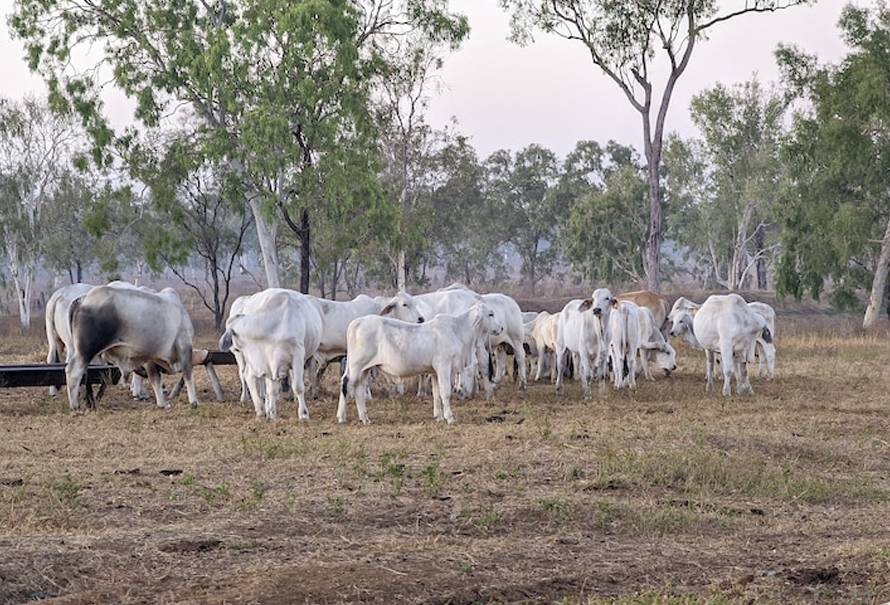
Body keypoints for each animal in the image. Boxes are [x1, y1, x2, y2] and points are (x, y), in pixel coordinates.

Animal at [219, 288, 322, 420]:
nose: (233, 349)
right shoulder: (265, 361)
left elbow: (298, 387)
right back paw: (260, 408)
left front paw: (303, 414)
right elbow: (271, 389)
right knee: (248, 376)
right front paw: (271, 413)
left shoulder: (297, 356)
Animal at [336, 302, 502, 424]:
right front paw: (449, 417)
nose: (501, 327)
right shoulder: (444, 366)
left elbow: (436, 394)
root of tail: (357, 322)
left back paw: (365, 418)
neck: (458, 330)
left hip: (365, 369)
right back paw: (341, 417)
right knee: (346, 383)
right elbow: (445, 392)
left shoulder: (434, 372)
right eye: (490, 314)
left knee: (359, 390)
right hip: (356, 366)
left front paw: (438, 417)